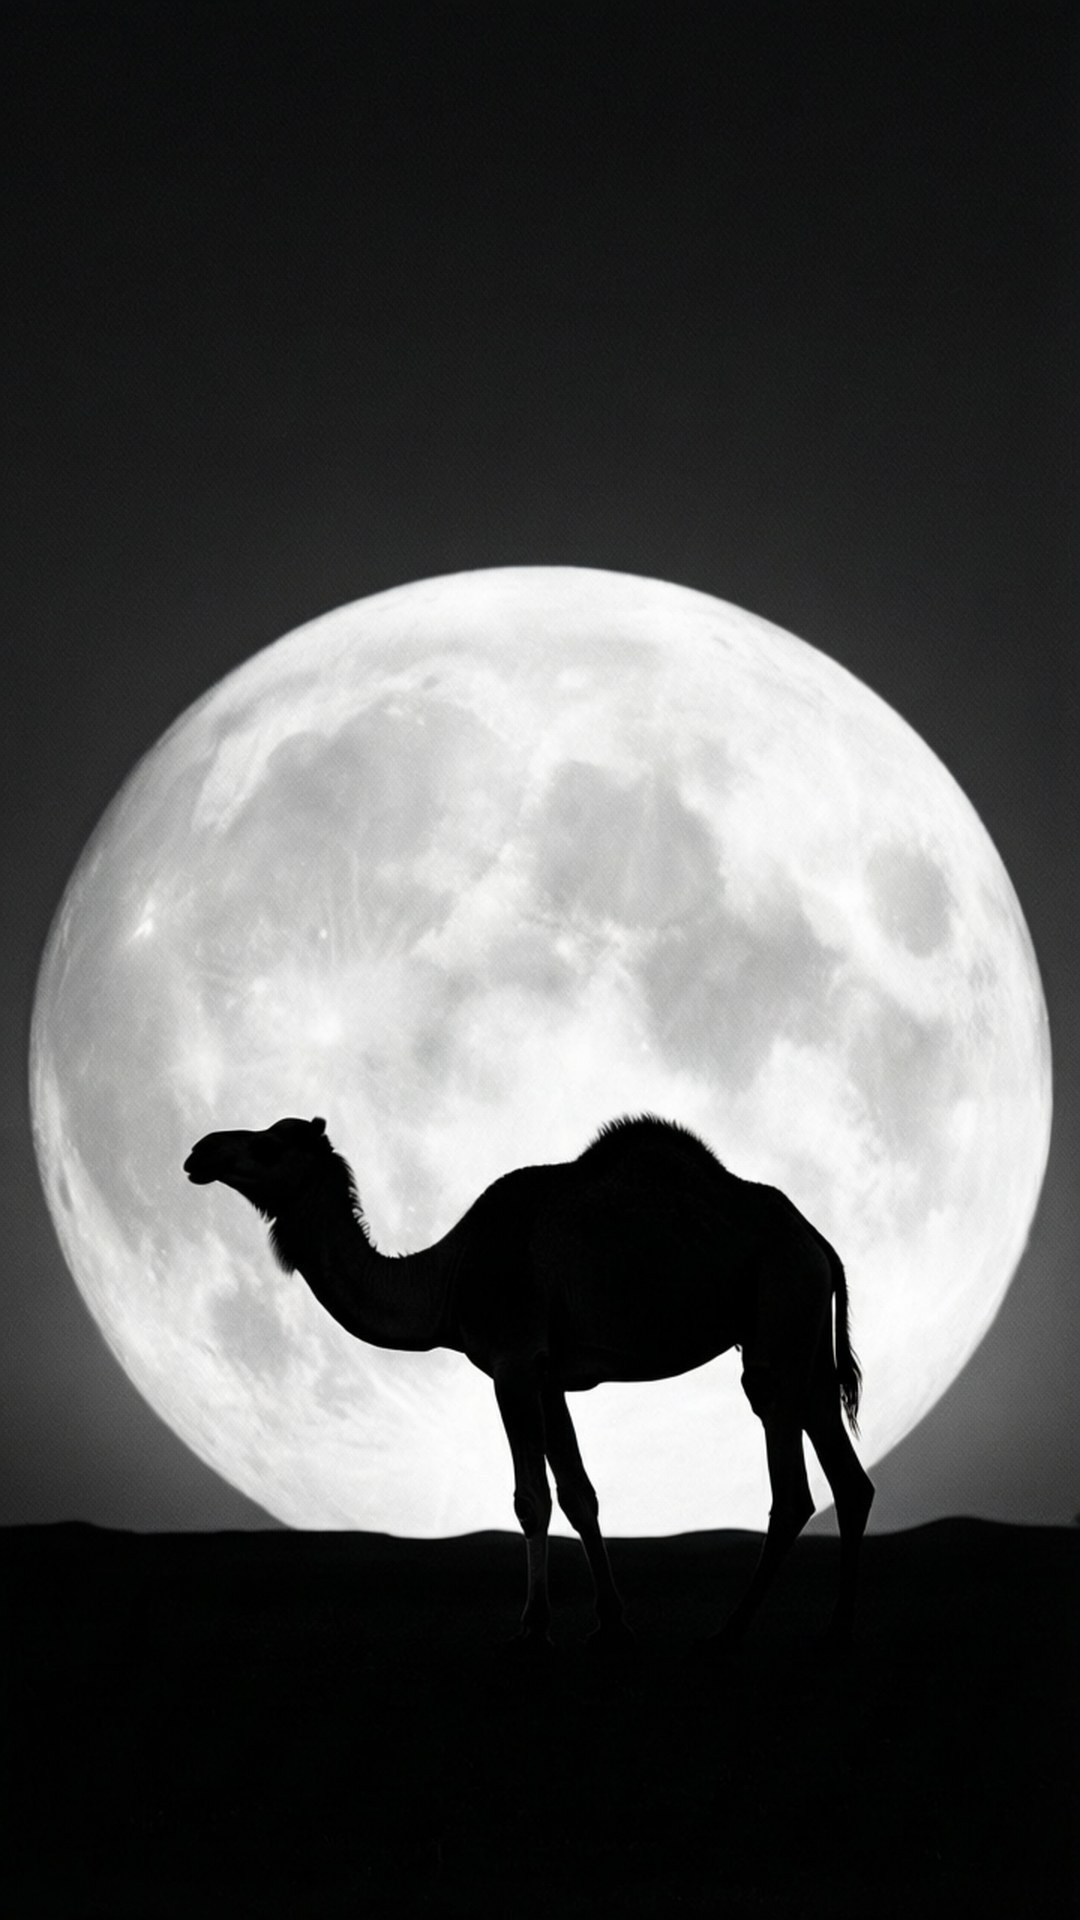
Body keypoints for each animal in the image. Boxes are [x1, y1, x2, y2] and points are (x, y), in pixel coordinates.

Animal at [184, 1112, 874, 1647]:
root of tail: (820, 1242)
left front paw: (534, 1626)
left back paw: (731, 1629)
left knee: (792, 1486)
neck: (449, 1279)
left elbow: (531, 1498)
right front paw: (611, 1624)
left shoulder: (512, 1363)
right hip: (806, 1343)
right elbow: (579, 1494)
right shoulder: (549, 1376)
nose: (200, 1151)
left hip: (778, 1320)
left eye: (272, 1143)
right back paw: (837, 1627)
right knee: (849, 1477)